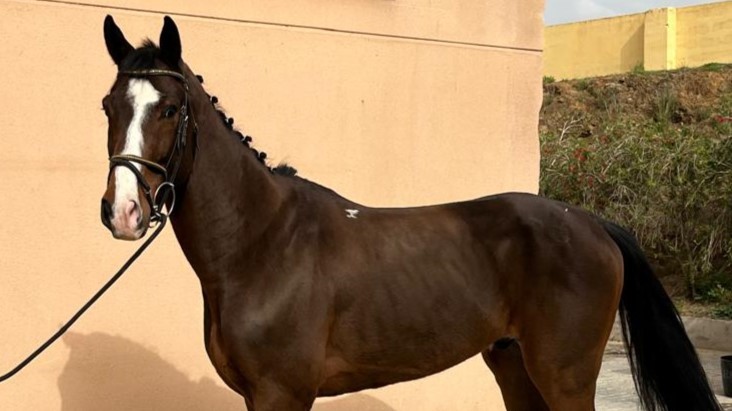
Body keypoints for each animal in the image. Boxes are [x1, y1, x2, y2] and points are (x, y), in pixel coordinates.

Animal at [99, 15, 722, 411]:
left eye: (169, 108)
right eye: (109, 105)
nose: (123, 211)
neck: (262, 244)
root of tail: (593, 223)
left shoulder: (283, 394)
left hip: (564, 377)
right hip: (513, 366)